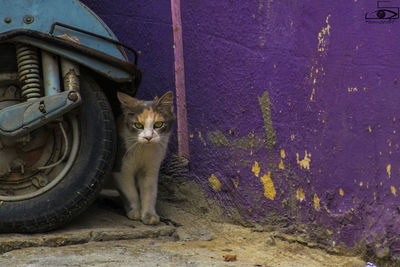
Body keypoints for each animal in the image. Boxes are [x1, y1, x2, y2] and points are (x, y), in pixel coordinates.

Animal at [112, 91, 175, 225]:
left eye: (158, 124)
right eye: (138, 125)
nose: (148, 137)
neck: (144, 151)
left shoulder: (151, 169)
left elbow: (149, 192)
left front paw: (149, 215)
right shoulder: (121, 170)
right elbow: (130, 192)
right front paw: (135, 211)